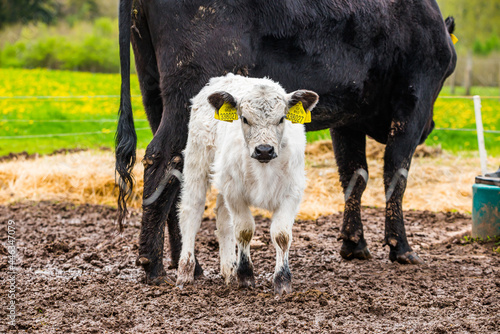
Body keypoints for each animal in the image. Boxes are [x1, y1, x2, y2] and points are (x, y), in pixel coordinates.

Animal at [174, 73, 318, 294]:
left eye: (281, 118)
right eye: (244, 119)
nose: (264, 150)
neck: (263, 168)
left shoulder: (291, 193)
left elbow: (281, 235)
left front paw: (282, 280)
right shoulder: (234, 192)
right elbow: (244, 230)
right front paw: (245, 275)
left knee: (222, 219)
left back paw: (228, 270)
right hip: (197, 161)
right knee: (191, 212)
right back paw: (185, 271)